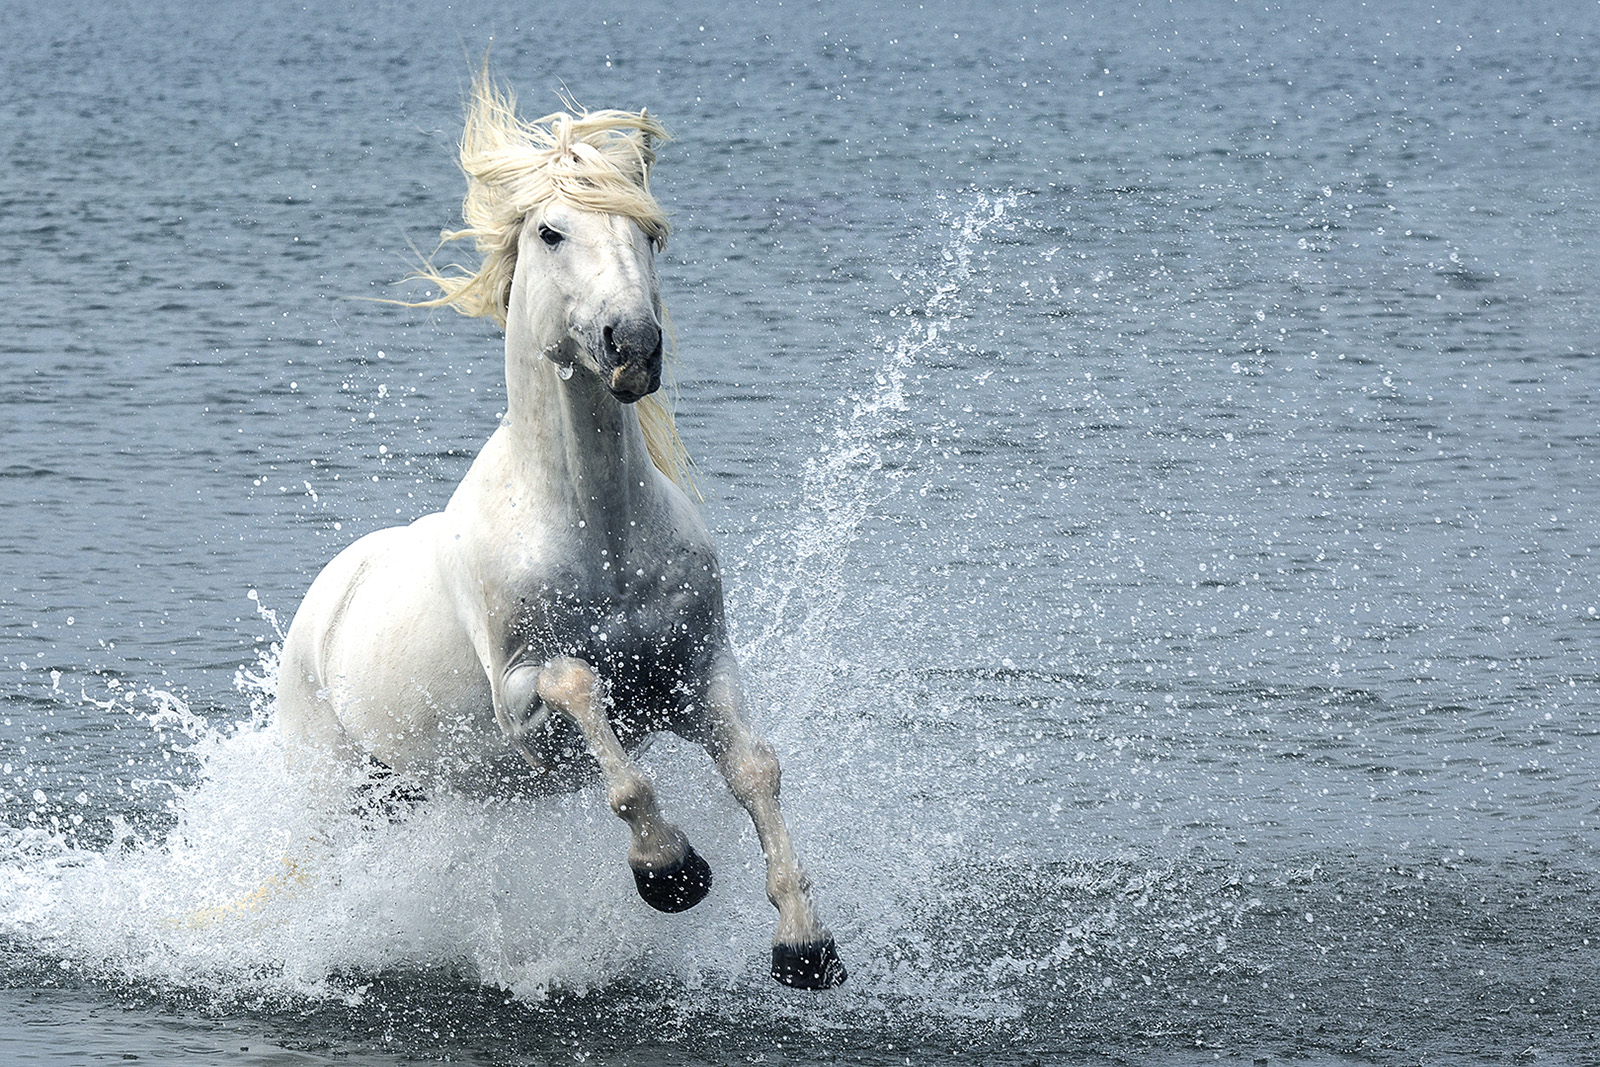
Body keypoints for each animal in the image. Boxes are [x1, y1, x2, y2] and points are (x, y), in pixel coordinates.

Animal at [274, 73, 846, 990]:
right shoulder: (521, 700)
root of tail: (325, 598)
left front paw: (804, 942)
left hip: (403, 794)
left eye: (650, 231)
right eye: (551, 230)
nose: (634, 344)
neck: (599, 535)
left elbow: (756, 767)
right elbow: (586, 697)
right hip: (329, 787)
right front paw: (669, 870)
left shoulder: (699, 668)